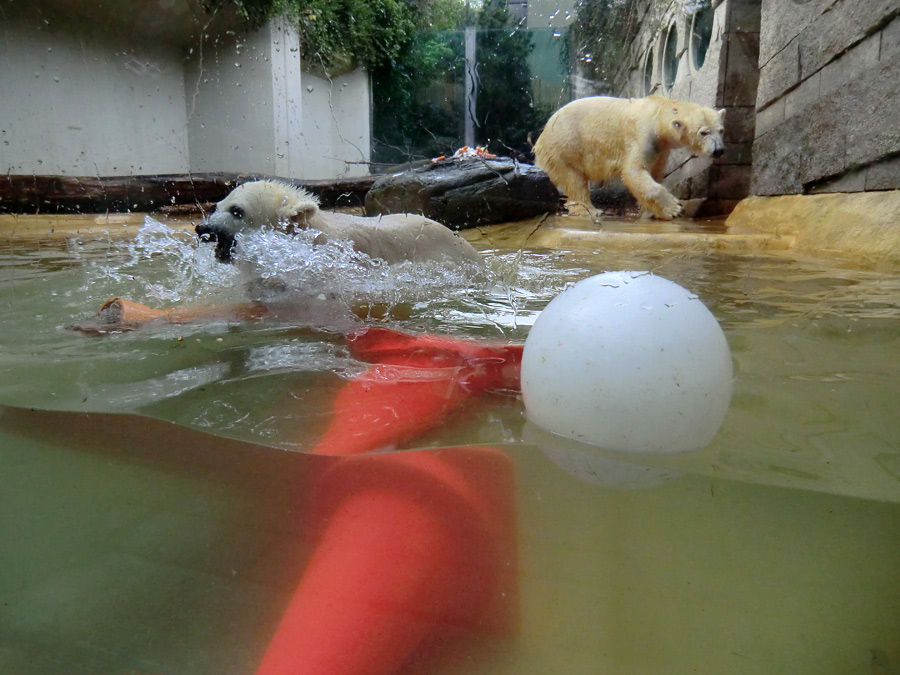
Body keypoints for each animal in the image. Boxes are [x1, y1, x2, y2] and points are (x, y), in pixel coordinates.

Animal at [536, 95, 724, 222]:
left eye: (721, 130)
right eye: (703, 132)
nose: (719, 150)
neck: (657, 114)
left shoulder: (662, 148)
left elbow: (655, 173)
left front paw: (648, 212)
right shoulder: (643, 135)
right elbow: (634, 171)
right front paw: (675, 209)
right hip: (565, 146)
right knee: (574, 179)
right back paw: (590, 210)